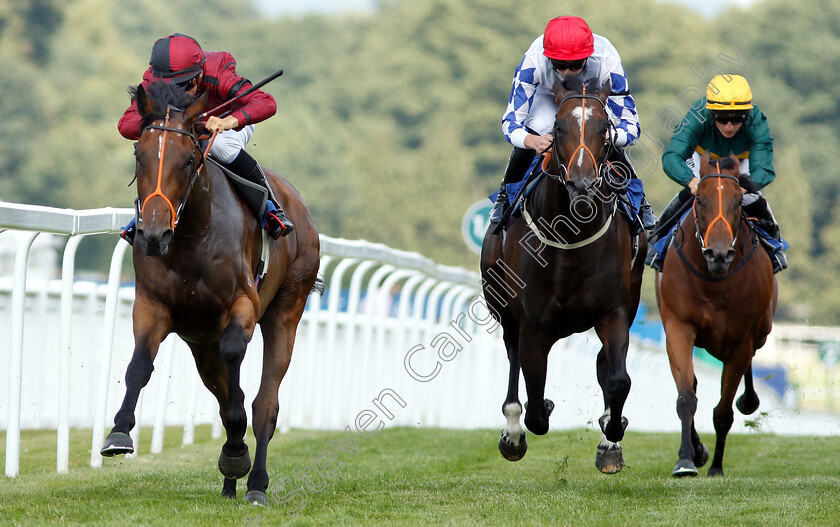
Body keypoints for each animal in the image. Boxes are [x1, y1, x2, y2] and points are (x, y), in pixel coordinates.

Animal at [99, 82, 322, 504]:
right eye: (139, 156)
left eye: (188, 161)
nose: (154, 234)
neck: (191, 238)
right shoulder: (152, 306)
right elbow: (139, 365)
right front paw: (119, 432)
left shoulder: (243, 305)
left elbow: (237, 369)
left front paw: (236, 452)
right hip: (200, 342)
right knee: (227, 393)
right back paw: (230, 484)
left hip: (287, 307)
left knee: (264, 403)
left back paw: (255, 483)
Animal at [482, 75, 648, 474]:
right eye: (558, 128)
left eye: (604, 128)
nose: (582, 184)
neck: (570, 236)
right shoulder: (532, 324)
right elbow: (536, 403)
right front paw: (526, 421)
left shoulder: (614, 312)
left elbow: (617, 379)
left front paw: (612, 434)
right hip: (504, 307)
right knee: (514, 361)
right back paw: (513, 433)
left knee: (605, 365)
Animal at [656, 153, 780, 478]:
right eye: (700, 200)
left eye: (738, 201)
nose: (719, 254)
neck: (714, 283)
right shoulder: (678, 328)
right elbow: (686, 396)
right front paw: (687, 459)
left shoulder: (740, 341)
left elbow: (723, 411)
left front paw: (716, 468)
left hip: (761, 332)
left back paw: (748, 400)